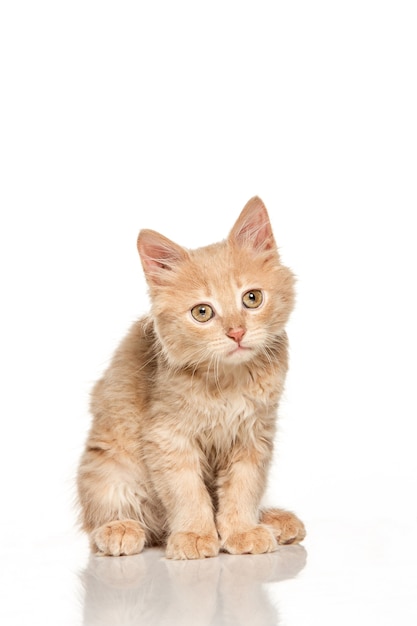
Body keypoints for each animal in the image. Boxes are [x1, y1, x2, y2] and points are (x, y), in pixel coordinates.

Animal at [78, 194, 304, 556]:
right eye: (202, 313)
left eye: (252, 298)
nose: (237, 332)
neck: (228, 380)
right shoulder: (167, 437)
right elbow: (186, 491)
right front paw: (195, 535)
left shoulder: (253, 435)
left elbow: (243, 488)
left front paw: (241, 531)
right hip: (109, 462)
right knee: (108, 516)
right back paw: (119, 529)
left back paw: (274, 520)